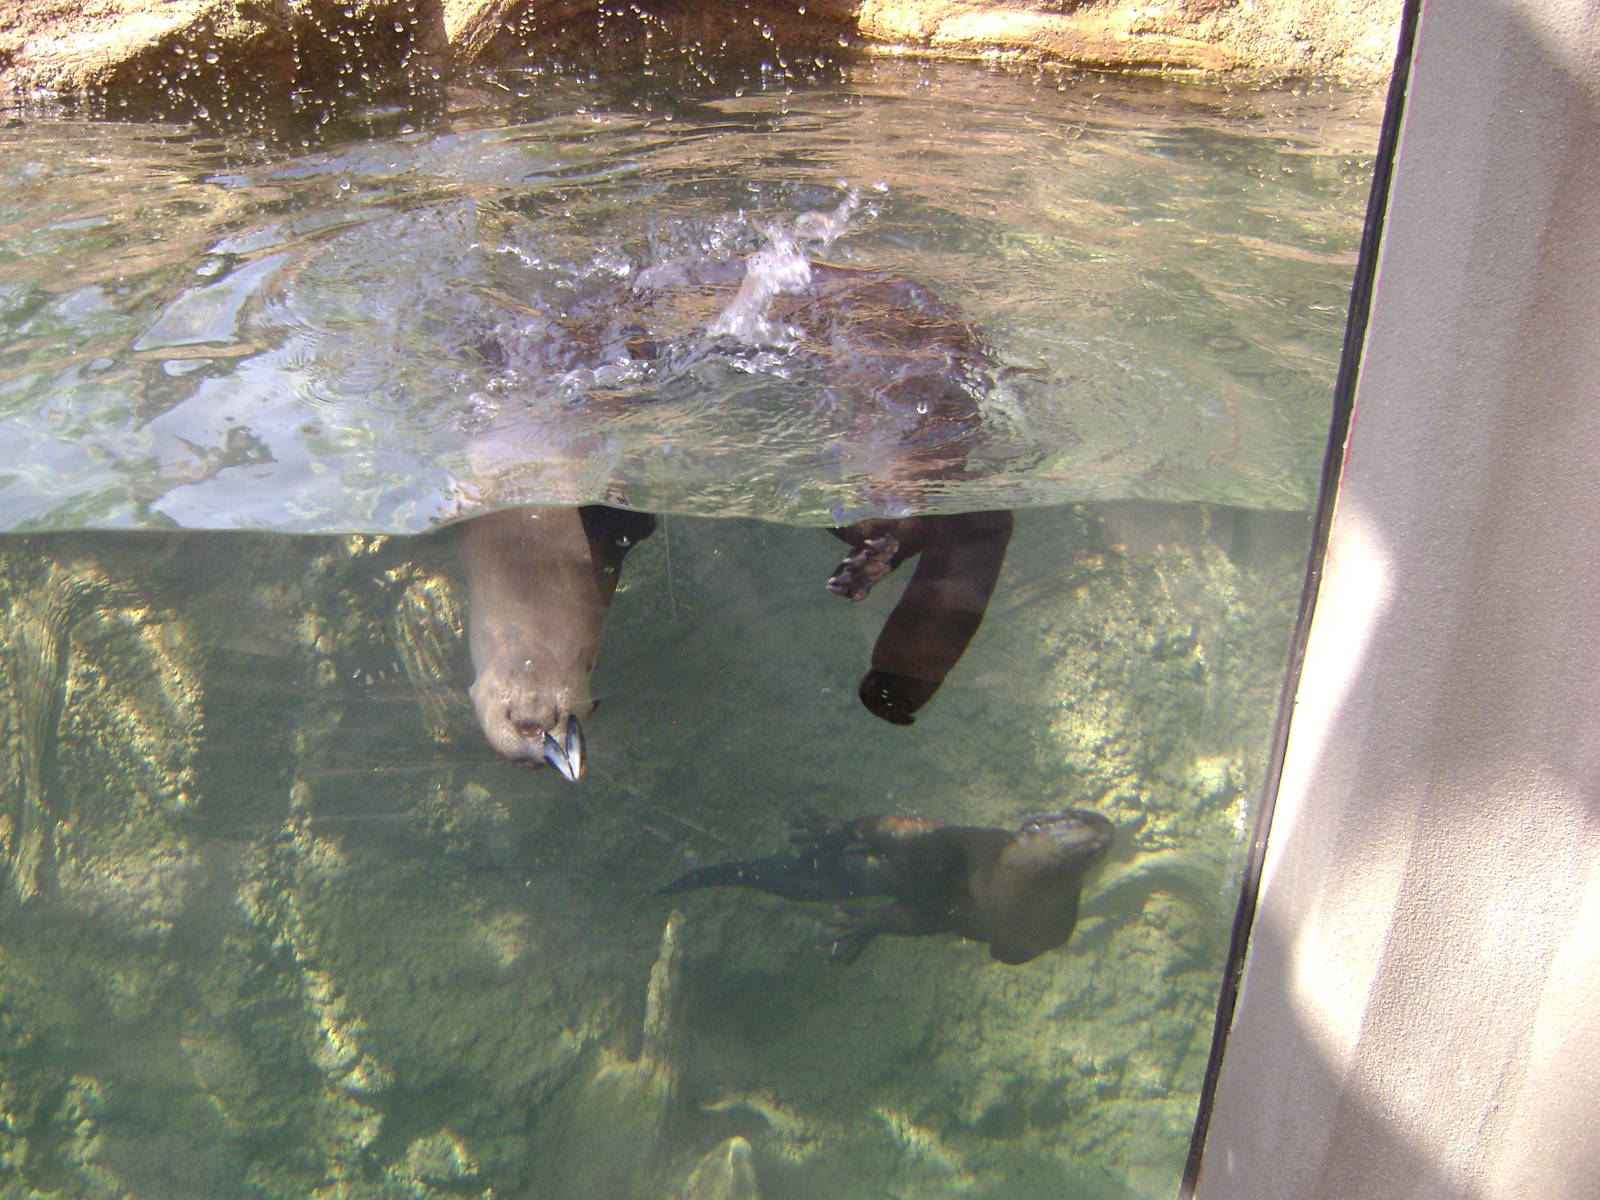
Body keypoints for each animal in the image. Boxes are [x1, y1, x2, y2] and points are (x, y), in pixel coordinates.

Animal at [659, 809, 1115, 965]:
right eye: (1070, 817)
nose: (1104, 825)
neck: (1002, 896)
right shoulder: (969, 844)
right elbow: (910, 838)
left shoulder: (1050, 933)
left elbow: (1014, 952)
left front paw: (1000, 953)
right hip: (910, 854)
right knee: (882, 828)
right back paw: (826, 831)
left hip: (924, 915)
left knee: (894, 916)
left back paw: (852, 930)